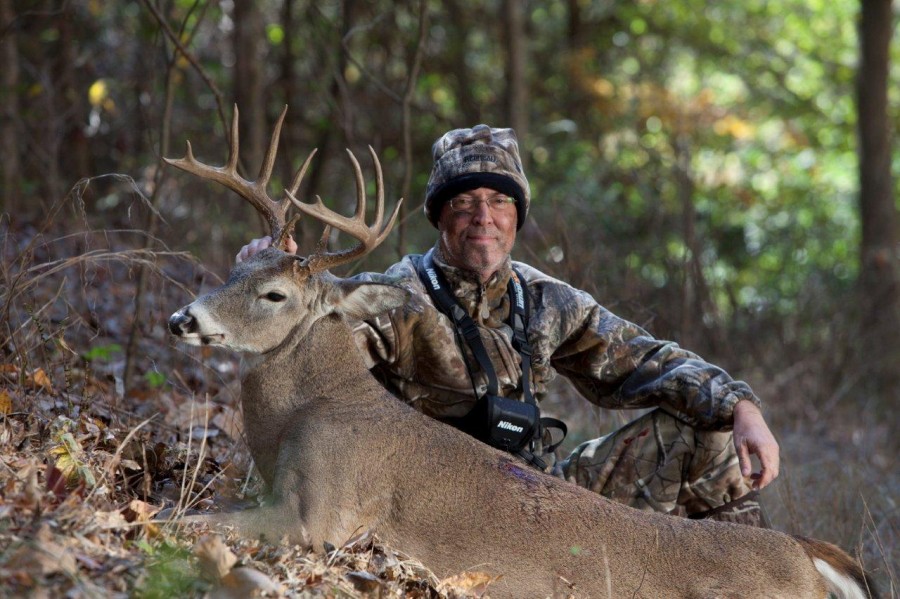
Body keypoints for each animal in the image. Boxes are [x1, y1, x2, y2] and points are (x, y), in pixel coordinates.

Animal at [165, 108, 876, 599]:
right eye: (235, 270)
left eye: (275, 294)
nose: (182, 319)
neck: (305, 413)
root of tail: (809, 556)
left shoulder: (322, 515)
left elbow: (199, 522)